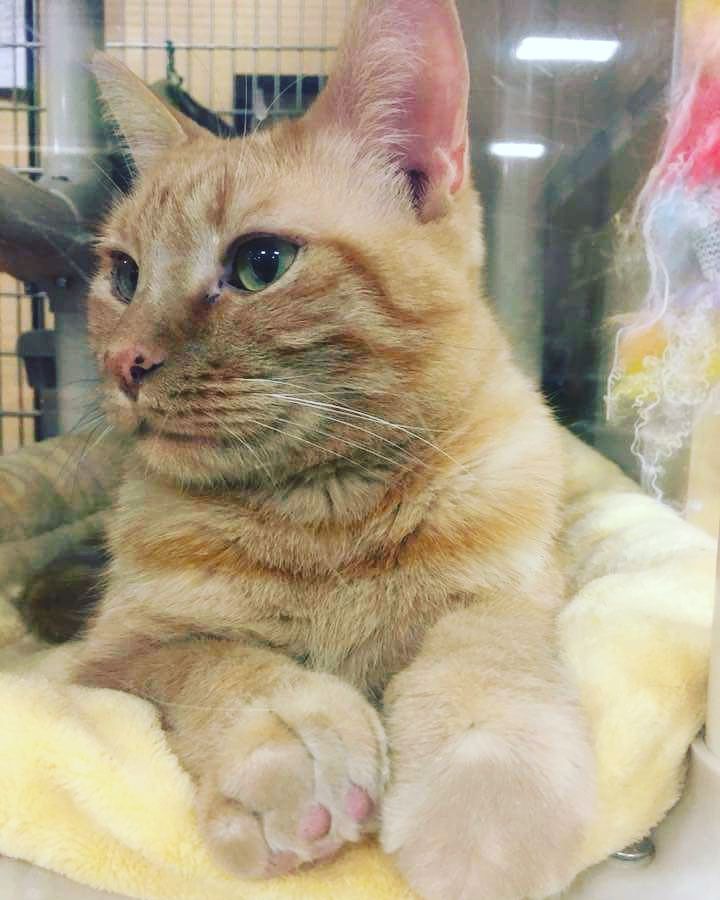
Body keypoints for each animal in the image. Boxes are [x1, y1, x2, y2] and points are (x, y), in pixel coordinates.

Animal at [77, 1, 596, 900]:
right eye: (124, 275)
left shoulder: (514, 591)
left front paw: (485, 800)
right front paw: (287, 745)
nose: (124, 362)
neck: (324, 511)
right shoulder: (102, 665)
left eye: (261, 263)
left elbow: (484, 656)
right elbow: (214, 662)